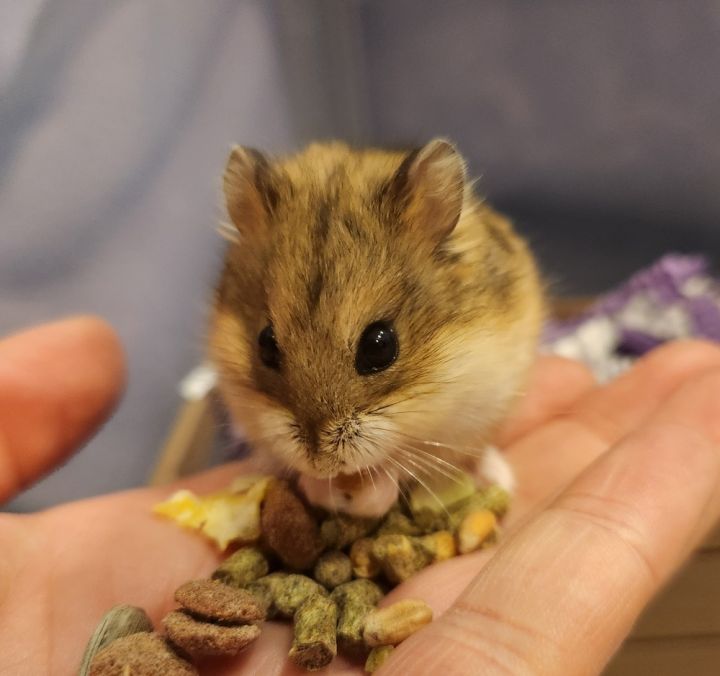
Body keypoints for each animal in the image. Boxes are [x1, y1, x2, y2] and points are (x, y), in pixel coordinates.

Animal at [208, 139, 544, 516]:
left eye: (379, 346)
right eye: (265, 344)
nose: (320, 463)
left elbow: (405, 462)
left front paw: (369, 495)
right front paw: (320, 488)